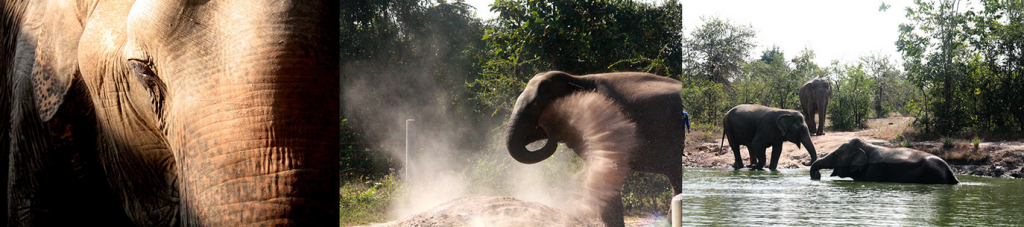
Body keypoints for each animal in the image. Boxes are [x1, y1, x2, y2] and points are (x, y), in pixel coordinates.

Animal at [806, 138, 958, 184]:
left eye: (837, 155)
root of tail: (949, 170)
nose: (817, 176)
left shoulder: (873, 170)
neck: (866, 146)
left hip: (933, 174)